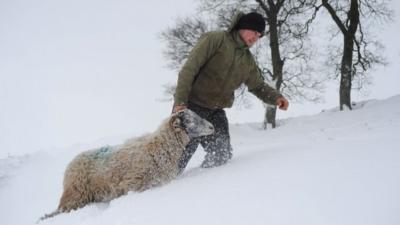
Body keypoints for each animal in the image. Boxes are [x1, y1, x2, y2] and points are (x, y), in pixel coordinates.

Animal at [40, 110, 214, 221]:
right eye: (190, 120)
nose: (212, 127)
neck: (161, 146)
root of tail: (69, 167)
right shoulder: (134, 184)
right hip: (76, 196)